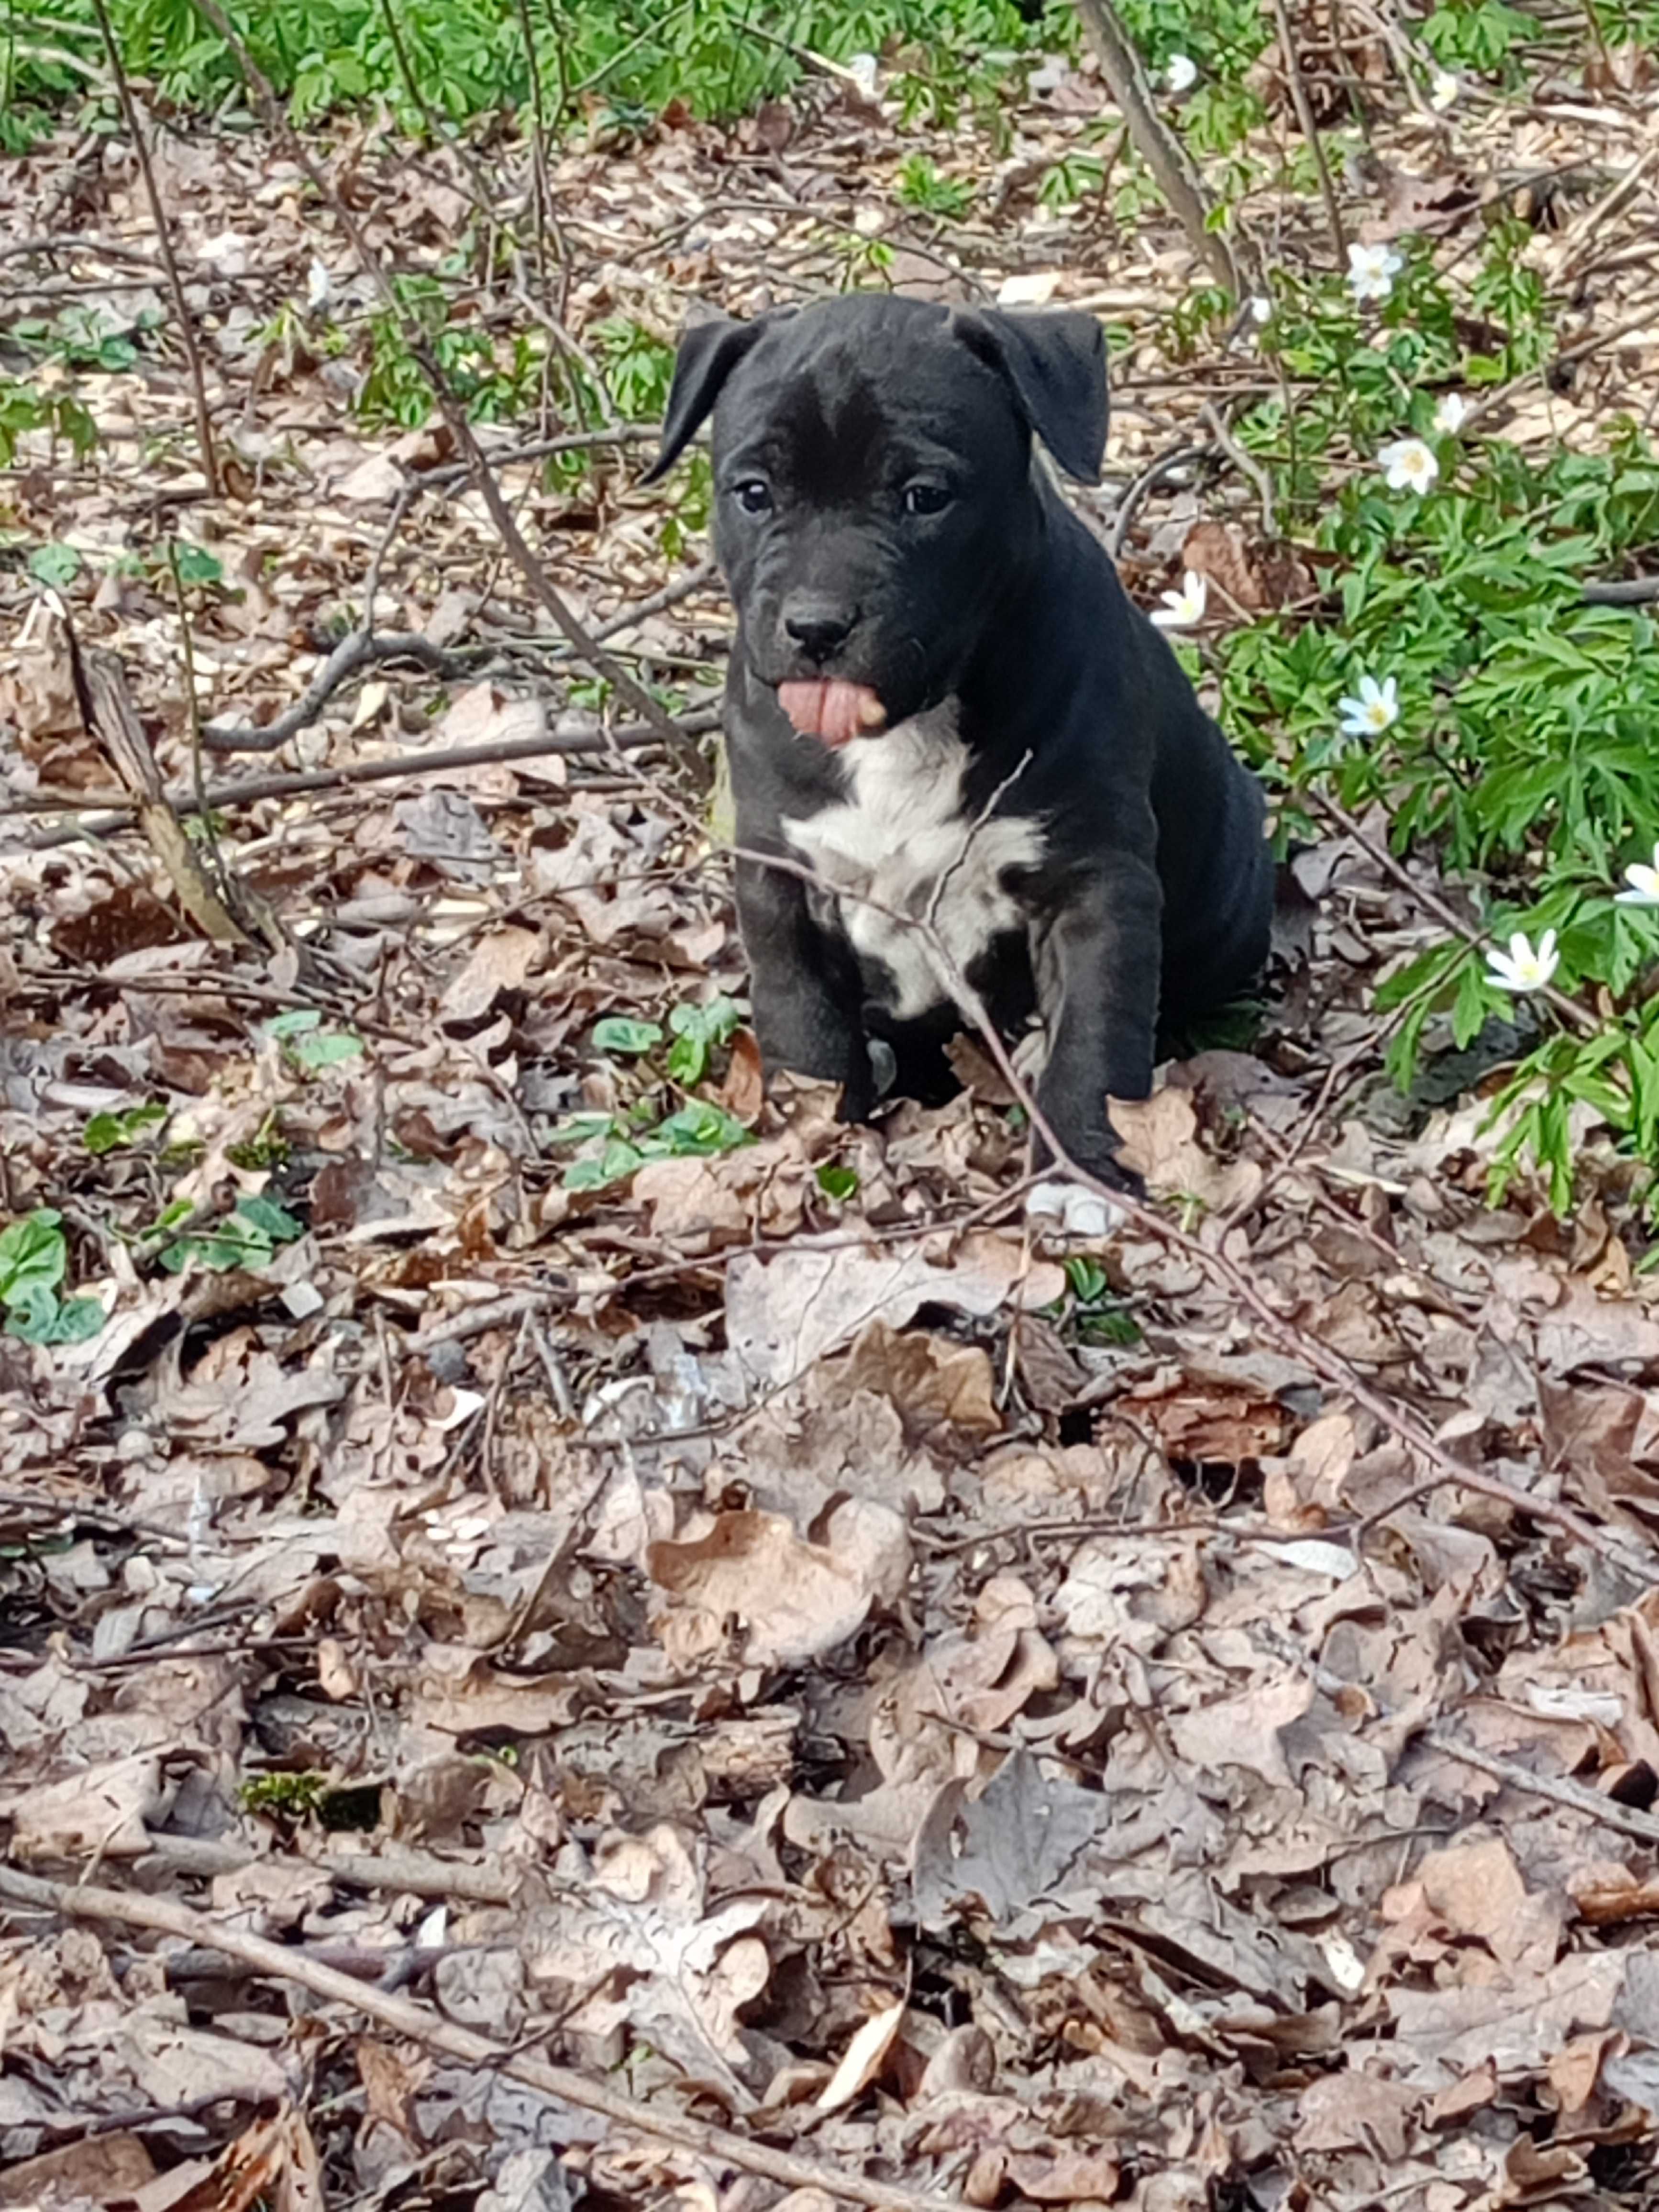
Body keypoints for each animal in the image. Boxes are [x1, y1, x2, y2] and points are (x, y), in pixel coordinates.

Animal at [650, 299, 1274, 1194]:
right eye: (754, 494)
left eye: (925, 497)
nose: (816, 625)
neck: (906, 728)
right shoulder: (783, 878)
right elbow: (804, 1024)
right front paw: (813, 1140)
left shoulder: (1092, 883)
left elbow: (1094, 1036)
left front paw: (1081, 1171)